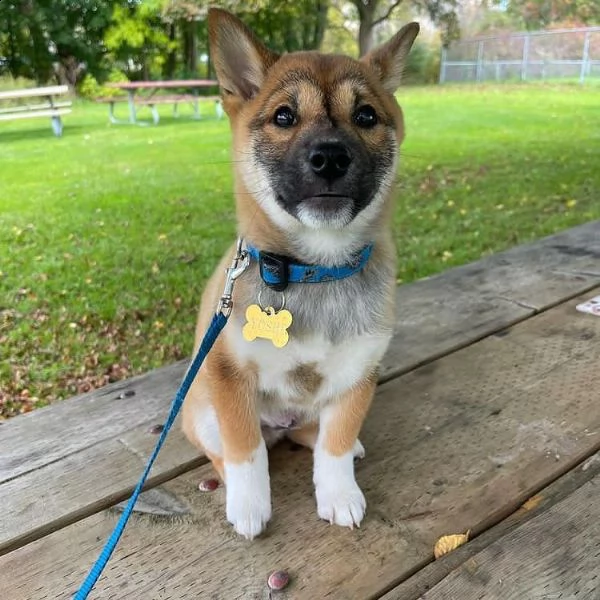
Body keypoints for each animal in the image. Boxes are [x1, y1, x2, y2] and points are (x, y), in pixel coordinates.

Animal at [180, 8, 420, 540]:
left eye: (366, 115)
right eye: (284, 116)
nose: (330, 156)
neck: (315, 272)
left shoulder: (357, 374)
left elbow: (334, 444)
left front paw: (339, 493)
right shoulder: (228, 376)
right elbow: (246, 451)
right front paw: (249, 504)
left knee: (317, 431)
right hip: (200, 411)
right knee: (224, 451)